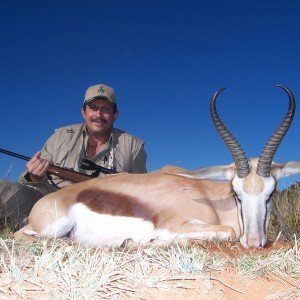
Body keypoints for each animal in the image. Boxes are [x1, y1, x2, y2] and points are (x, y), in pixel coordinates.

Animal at [14, 84, 300, 248]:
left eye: (271, 193)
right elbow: (227, 231)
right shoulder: (177, 225)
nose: (253, 243)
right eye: (236, 194)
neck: (210, 199)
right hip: (51, 228)